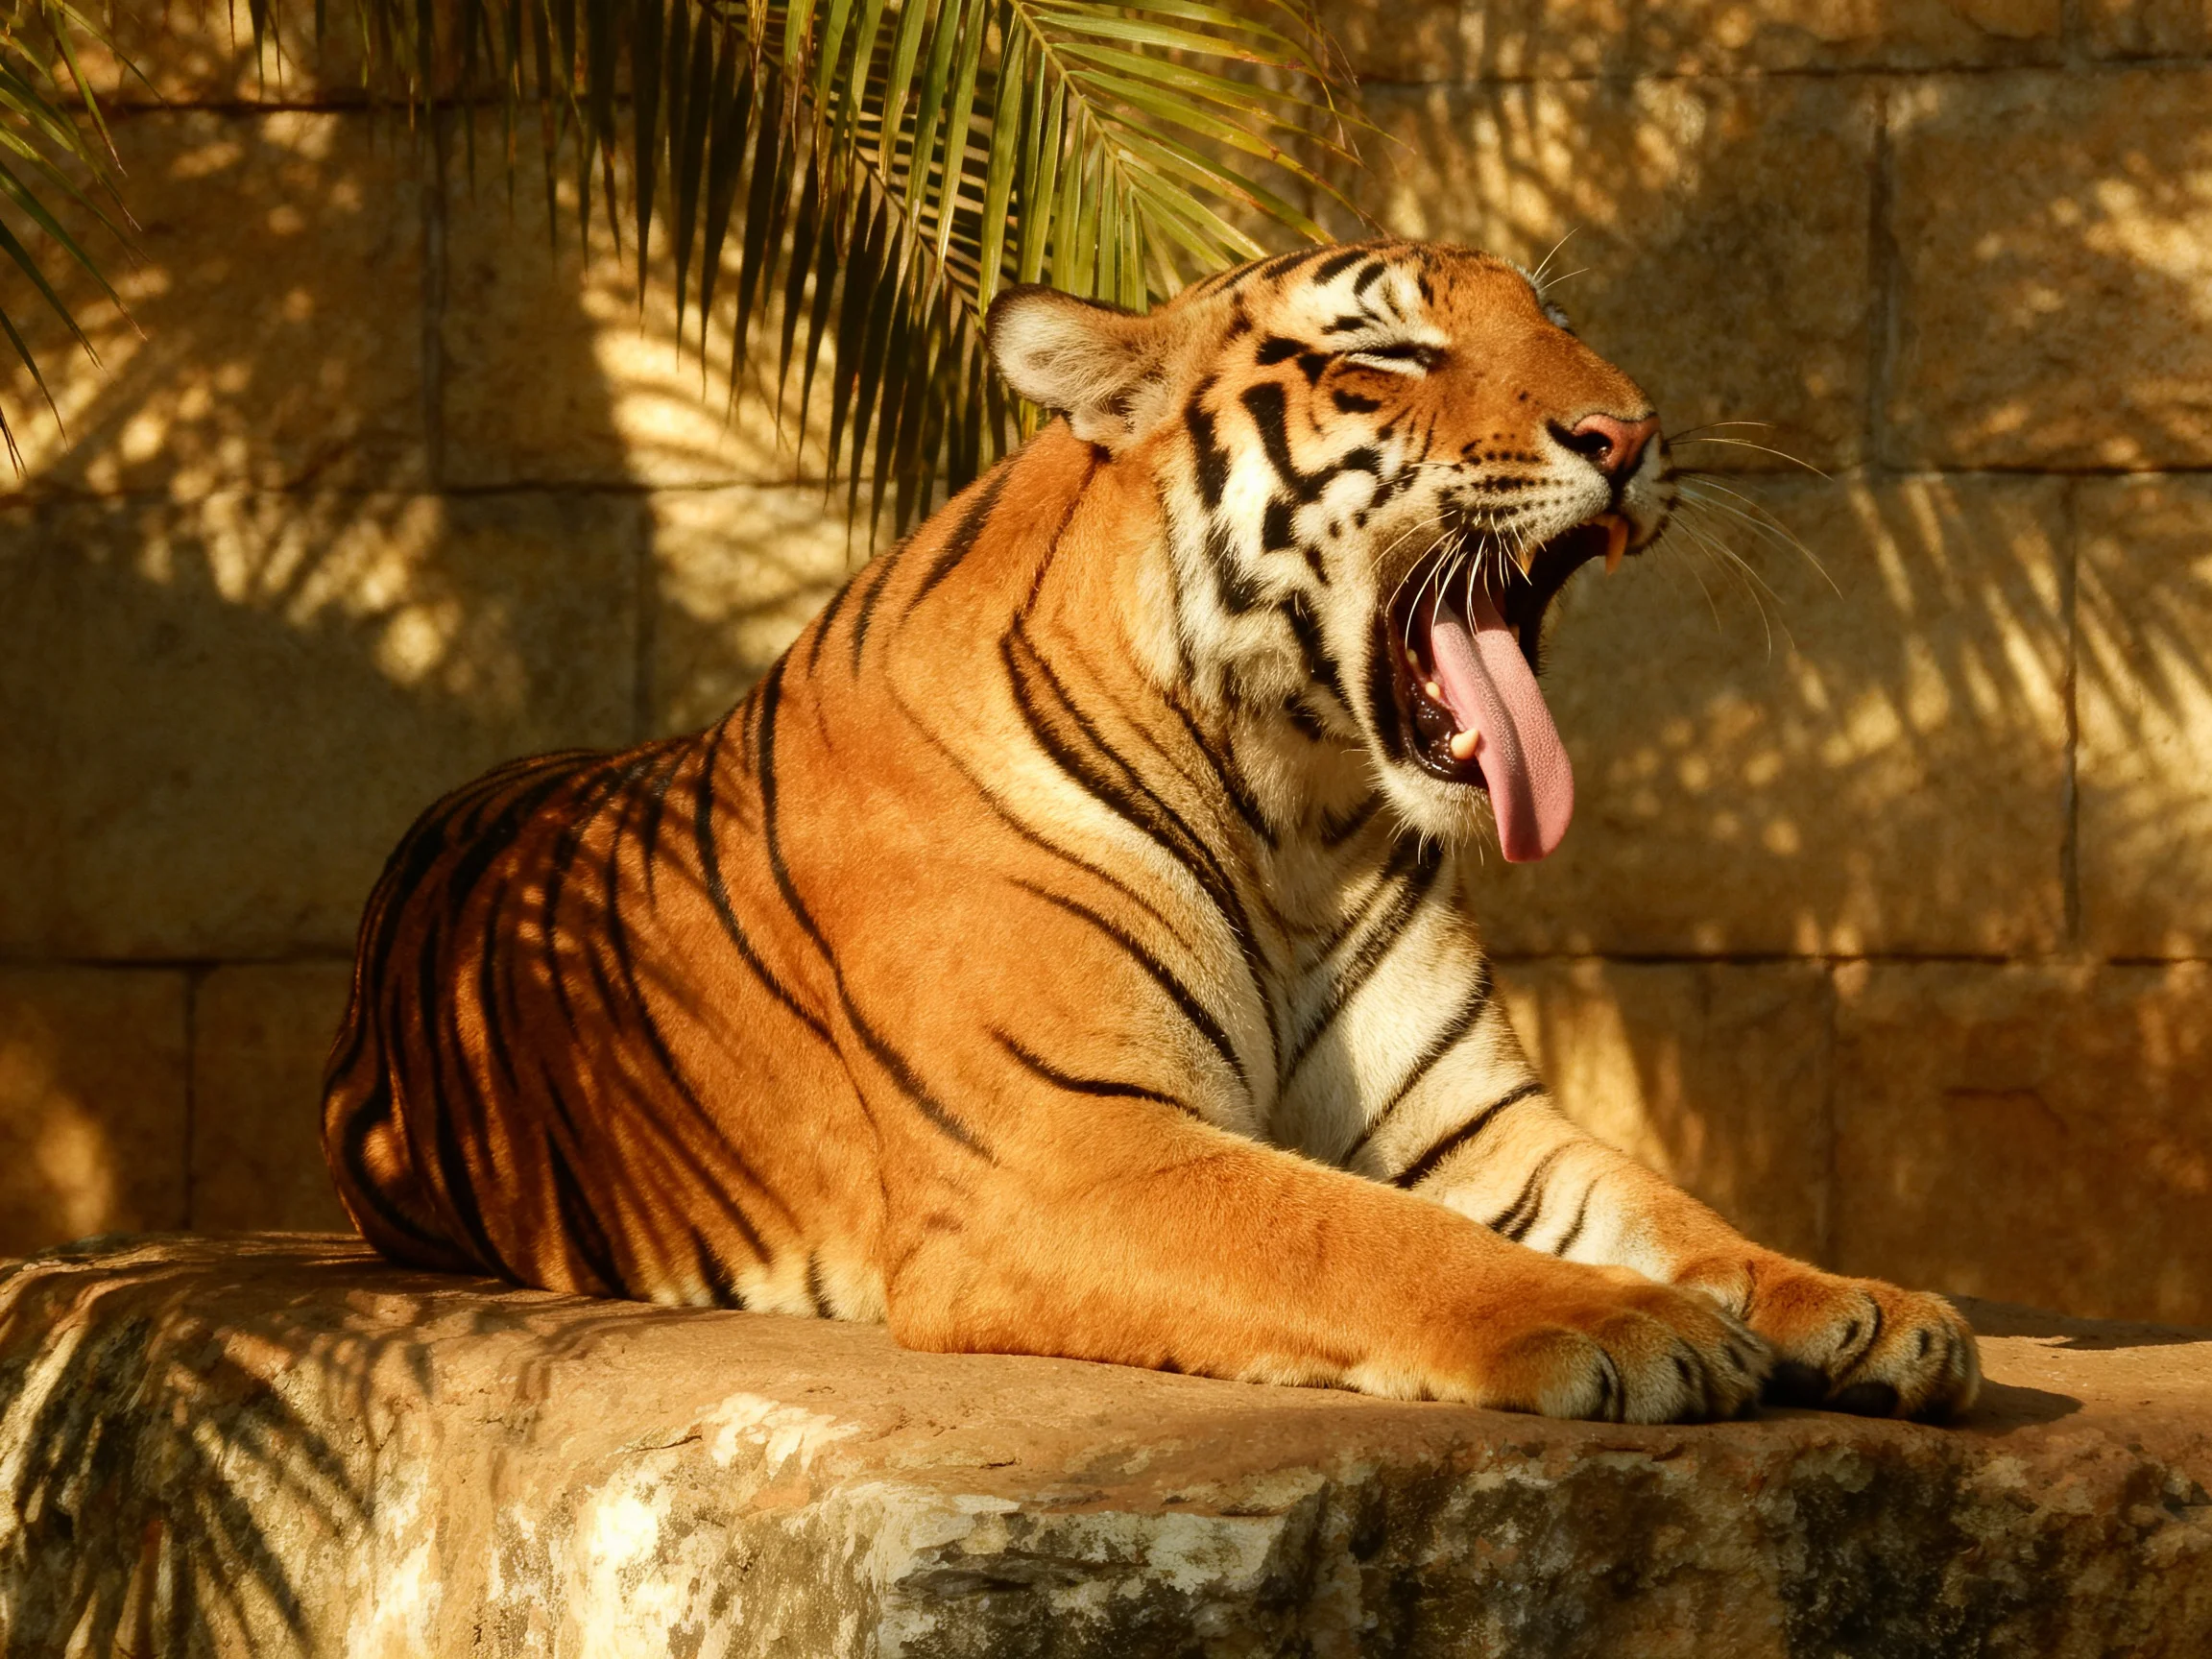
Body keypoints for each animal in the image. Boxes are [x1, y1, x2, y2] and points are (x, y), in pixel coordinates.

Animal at [321, 238, 1980, 1424]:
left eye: (1555, 323)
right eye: (1389, 353)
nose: (1629, 432)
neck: (1299, 813)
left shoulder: (1472, 1123)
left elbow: (1669, 1205)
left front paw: (1865, 1307)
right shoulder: (1070, 1142)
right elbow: (1356, 1236)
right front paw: (1622, 1325)